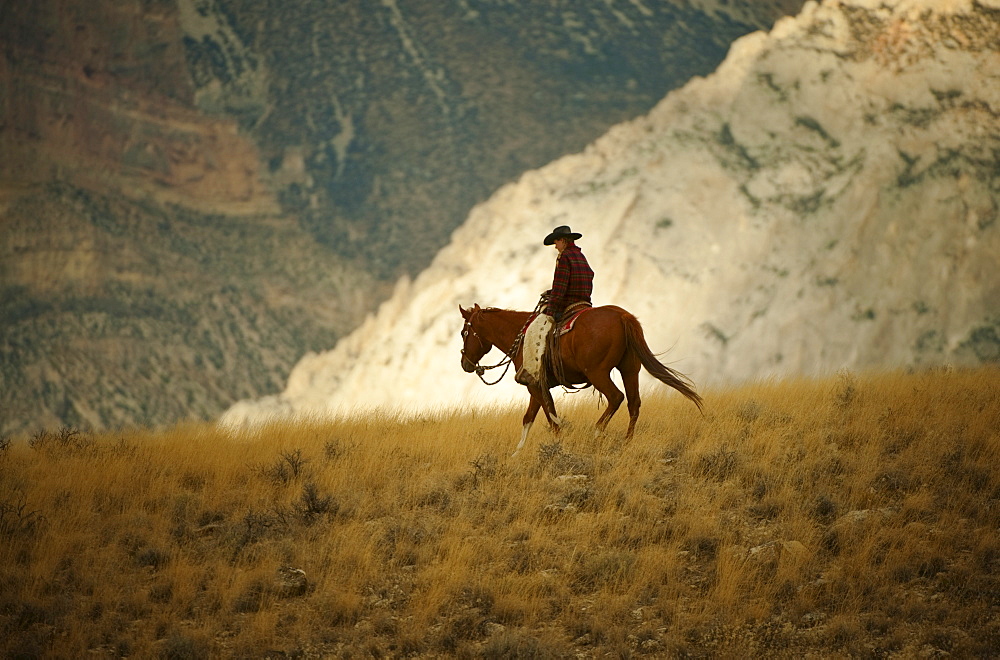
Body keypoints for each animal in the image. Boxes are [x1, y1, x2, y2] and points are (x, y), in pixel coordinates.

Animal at [460, 302, 704, 454]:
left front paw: (558, 446)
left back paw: (596, 434)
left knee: (616, 397)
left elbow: (551, 416)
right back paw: (626, 443)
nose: (465, 364)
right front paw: (517, 454)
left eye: (464, 333)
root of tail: (623, 316)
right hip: (629, 370)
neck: (520, 335)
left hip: (597, 373)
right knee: (634, 403)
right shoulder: (535, 386)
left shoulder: (535, 386)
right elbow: (529, 417)